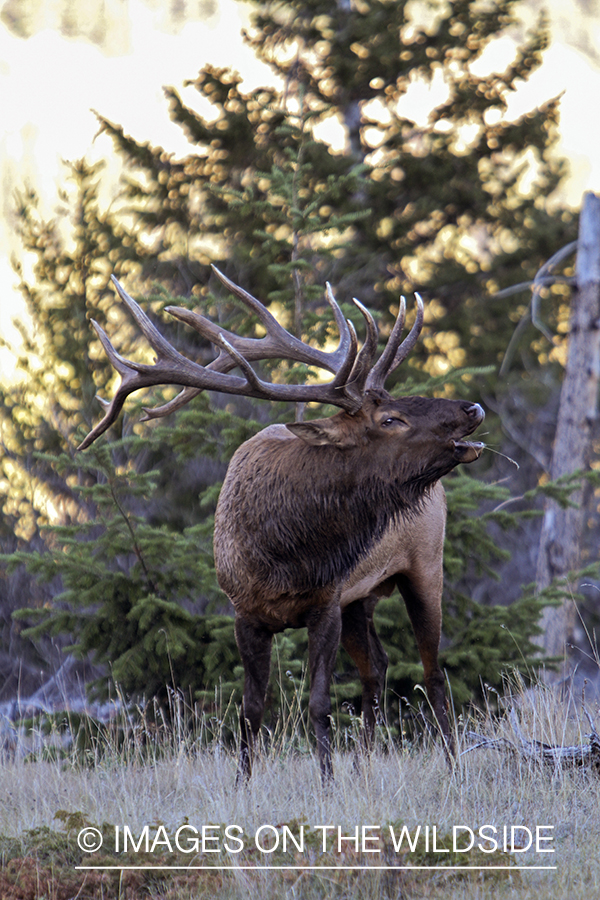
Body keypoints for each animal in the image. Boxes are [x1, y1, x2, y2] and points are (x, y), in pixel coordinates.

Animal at [78, 268, 482, 780]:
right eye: (391, 418)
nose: (472, 409)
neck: (284, 554)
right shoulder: (245, 612)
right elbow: (250, 710)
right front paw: (242, 783)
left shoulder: (325, 603)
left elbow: (319, 704)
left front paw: (327, 783)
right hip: (361, 597)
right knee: (378, 666)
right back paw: (365, 765)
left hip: (424, 564)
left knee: (433, 672)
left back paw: (452, 768)